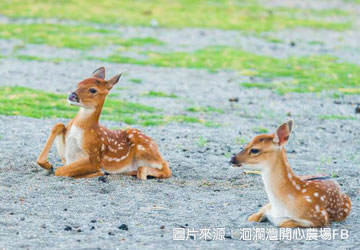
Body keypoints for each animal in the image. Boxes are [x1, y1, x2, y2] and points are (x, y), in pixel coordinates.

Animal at [36, 67, 172, 180]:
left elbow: (60, 171)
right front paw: (48, 165)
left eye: (92, 90)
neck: (79, 130)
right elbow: (58, 125)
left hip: (145, 149)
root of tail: (155, 145)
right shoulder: (66, 156)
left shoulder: (94, 156)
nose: (72, 95)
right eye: (78, 83)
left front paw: (98, 172)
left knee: (166, 168)